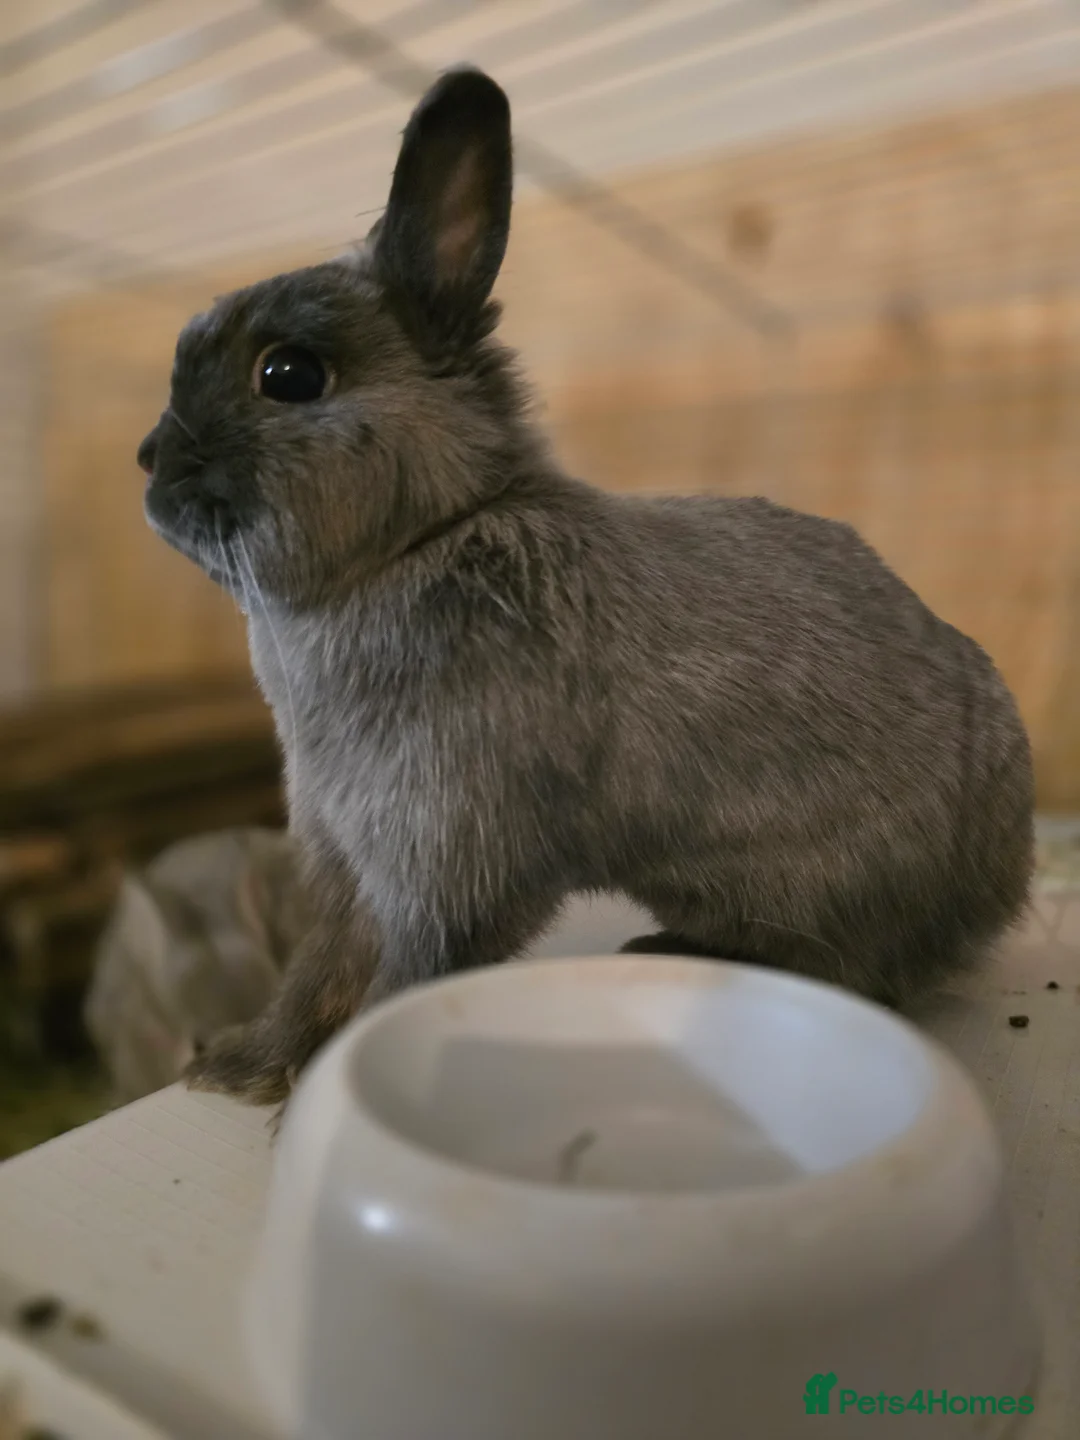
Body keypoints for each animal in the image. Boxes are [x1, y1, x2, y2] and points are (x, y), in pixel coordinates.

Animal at [136, 67, 1034, 1108]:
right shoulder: (343, 856)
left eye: (288, 374)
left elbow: (406, 978)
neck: (423, 539)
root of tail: (1002, 873)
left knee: (861, 974)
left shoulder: (449, 858)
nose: (147, 462)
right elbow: (320, 970)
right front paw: (241, 1071)